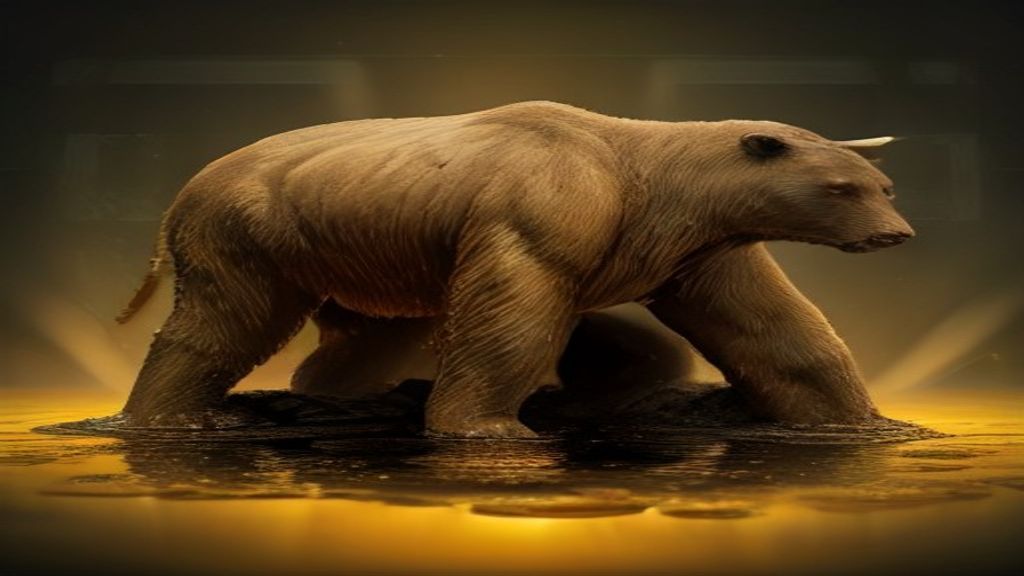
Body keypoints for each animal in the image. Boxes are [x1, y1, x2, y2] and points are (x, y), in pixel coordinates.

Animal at [116, 100, 913, 438]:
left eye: (884, 186)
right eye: (842, 189)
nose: (896, 234)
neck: (653, 183)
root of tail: (178, 197)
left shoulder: (693, 252)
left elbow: (778, 333)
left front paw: (864, 421)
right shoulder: (545, 208)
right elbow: (511, 316)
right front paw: (490, 428)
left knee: (354, 334)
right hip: (259, 233)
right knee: (223, 322)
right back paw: (168, 417)